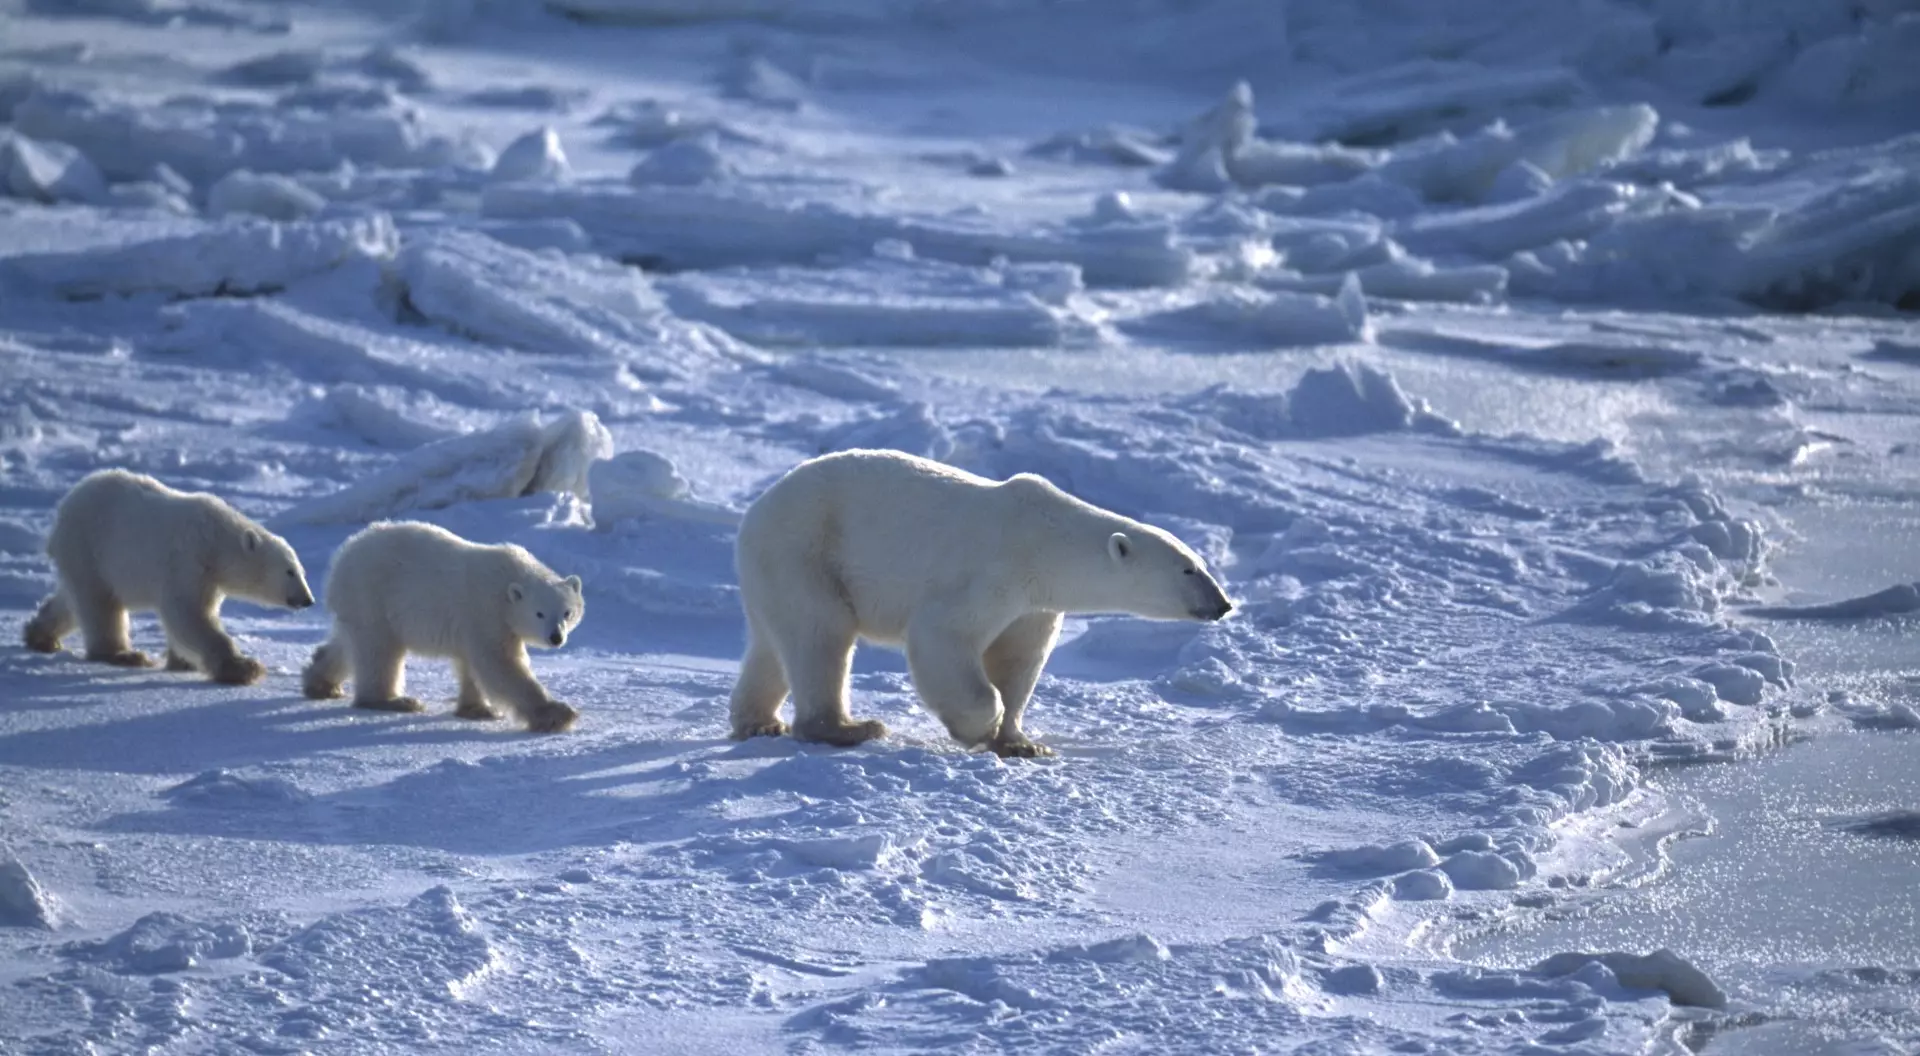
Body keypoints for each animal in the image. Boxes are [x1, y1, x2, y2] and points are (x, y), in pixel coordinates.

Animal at [22, 468, 316, 685]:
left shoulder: (209, 579)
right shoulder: (187, 561)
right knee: (100, 605)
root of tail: (64, 508)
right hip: (89, 546)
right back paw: (124, 654)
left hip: (82, 557)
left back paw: (40, 636)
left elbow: (193, 615)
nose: (308, 600)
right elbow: (187, 614)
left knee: (71, 599)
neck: (216, 540)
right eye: (289, 571)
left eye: (302, 571)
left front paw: (182, 662)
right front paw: (243, 668)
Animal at [300, 520, 585, 734]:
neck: (507, 582)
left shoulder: (479, 622)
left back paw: (321, 683)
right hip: (373, 595)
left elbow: (472, 664)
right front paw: (558, 714)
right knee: (379, 651)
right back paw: (394, 701)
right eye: (539, 613)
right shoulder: (486, 611)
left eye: (567, 612)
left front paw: (477, 709)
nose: (556, 637)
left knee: (348, 644)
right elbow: (500, 663)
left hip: (359, 605)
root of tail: (341, 557)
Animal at [727, 448, 1234, 758]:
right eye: (1188, 570)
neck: (1046, 541)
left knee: (774, 643)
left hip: (778, 568)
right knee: (822, 635)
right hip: (807, 551)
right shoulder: (991, 572)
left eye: (1201, 563)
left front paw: (1022, 743)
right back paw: (848, 728)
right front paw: (978, 727)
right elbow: (942, 636)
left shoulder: (1034, 605)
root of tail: (757, 511)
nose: (1223, 604)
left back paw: (758, 722)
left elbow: (1019, 661)